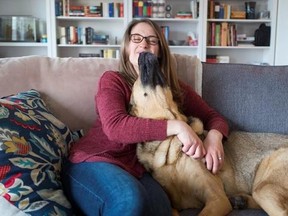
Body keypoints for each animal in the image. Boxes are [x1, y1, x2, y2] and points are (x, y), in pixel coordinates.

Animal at [129, 52, 288, 216]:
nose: (144, 53)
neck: (170, 147)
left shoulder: (217, 198)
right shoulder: (173, 206)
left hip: (265, 186)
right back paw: (240, 200)